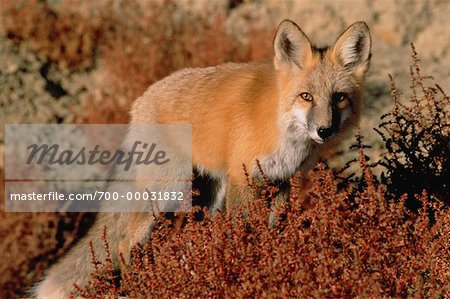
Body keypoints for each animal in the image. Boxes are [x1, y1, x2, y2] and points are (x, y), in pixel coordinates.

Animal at [35, 19, 370, 298]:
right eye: (306, 97)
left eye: (339, 98)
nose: (325, 130)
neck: (282, 127)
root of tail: (141, 100)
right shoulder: (242, 178)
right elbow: (243, 231)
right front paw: (246, 268)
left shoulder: (280, 181)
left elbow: (272, 231)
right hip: (168, 190)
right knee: (124, 243)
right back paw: (136, 286)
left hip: (206, 196)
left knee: (189, 237)